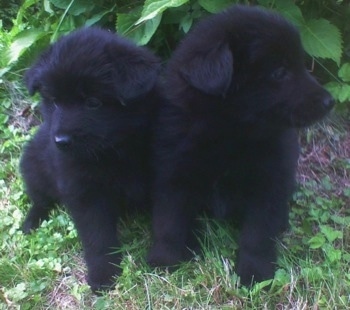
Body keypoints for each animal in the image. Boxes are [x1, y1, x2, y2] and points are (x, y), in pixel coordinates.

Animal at [20, 26, 160, 290]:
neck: (114, 150)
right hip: (32, 167)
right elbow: (97, 237)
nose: (61, 141)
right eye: (54, 102)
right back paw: (31, 222)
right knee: (40, 200)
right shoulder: (85, 192)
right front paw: (103, 275)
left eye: (93, 102)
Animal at [147, 5, 334, 286]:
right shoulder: (175, 172)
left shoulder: (270, 181)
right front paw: (165, 260)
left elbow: (257, 234)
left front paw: (254, 273)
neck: (231, 133)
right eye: (279, 72)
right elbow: (169, 221)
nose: (329, 102)